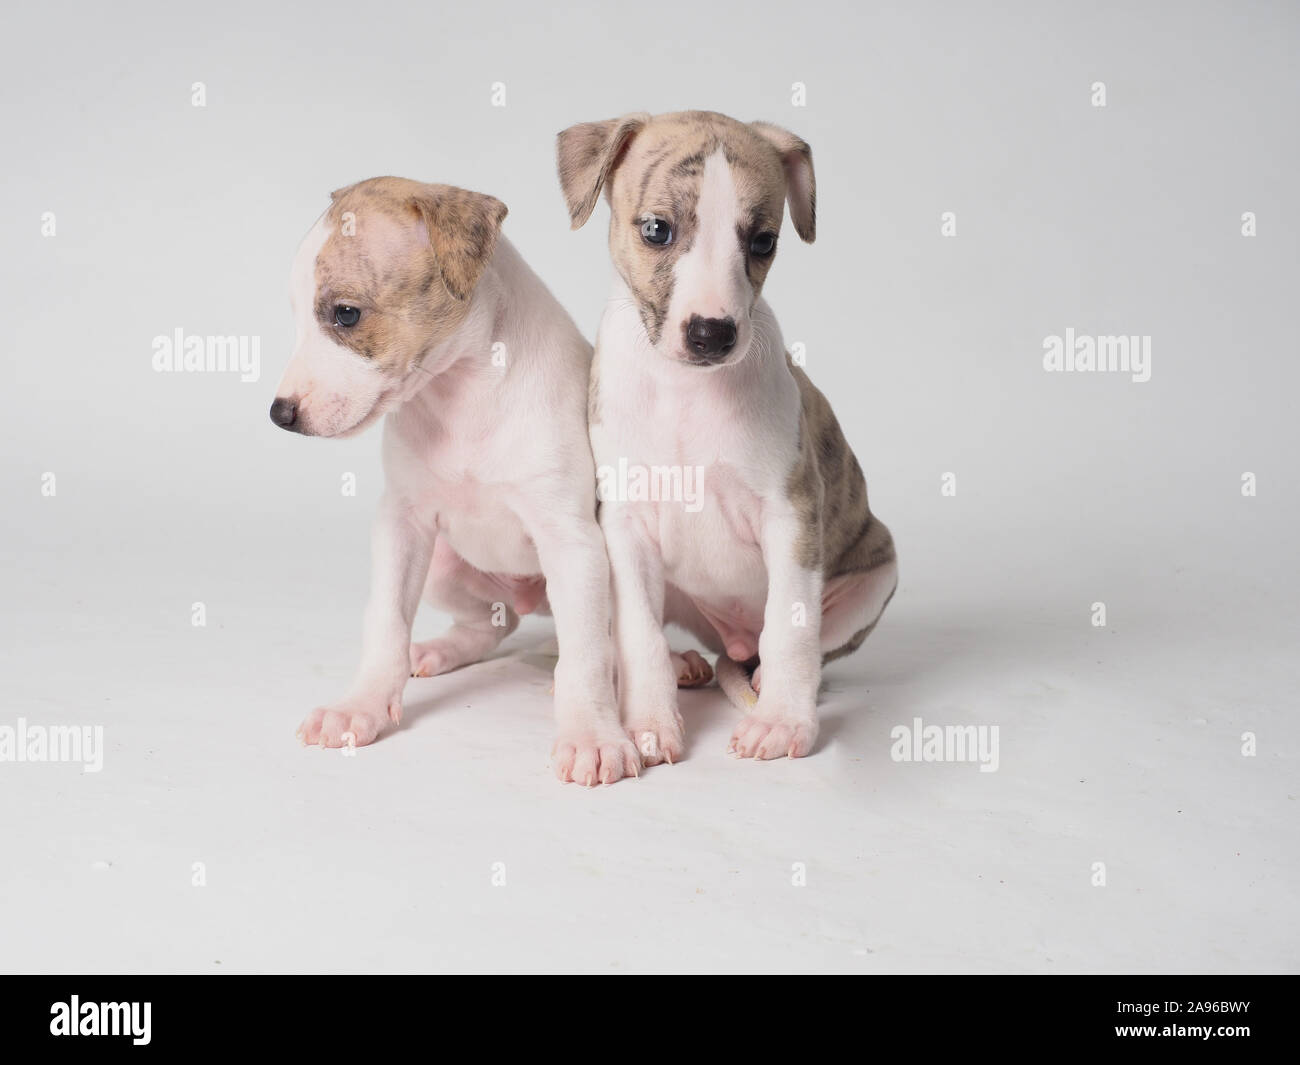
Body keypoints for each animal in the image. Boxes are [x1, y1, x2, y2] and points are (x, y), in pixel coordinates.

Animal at [553, 112, 899, 764]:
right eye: (657, 230)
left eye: (762, 241)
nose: (712, 334)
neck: (686, 390)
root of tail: (732, 641)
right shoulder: (626, 527)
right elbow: (638, 633)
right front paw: (649, 722)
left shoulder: (792, 515)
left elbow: (791, 627)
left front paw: (783, 721)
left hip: (874, 579)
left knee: (797, 644)